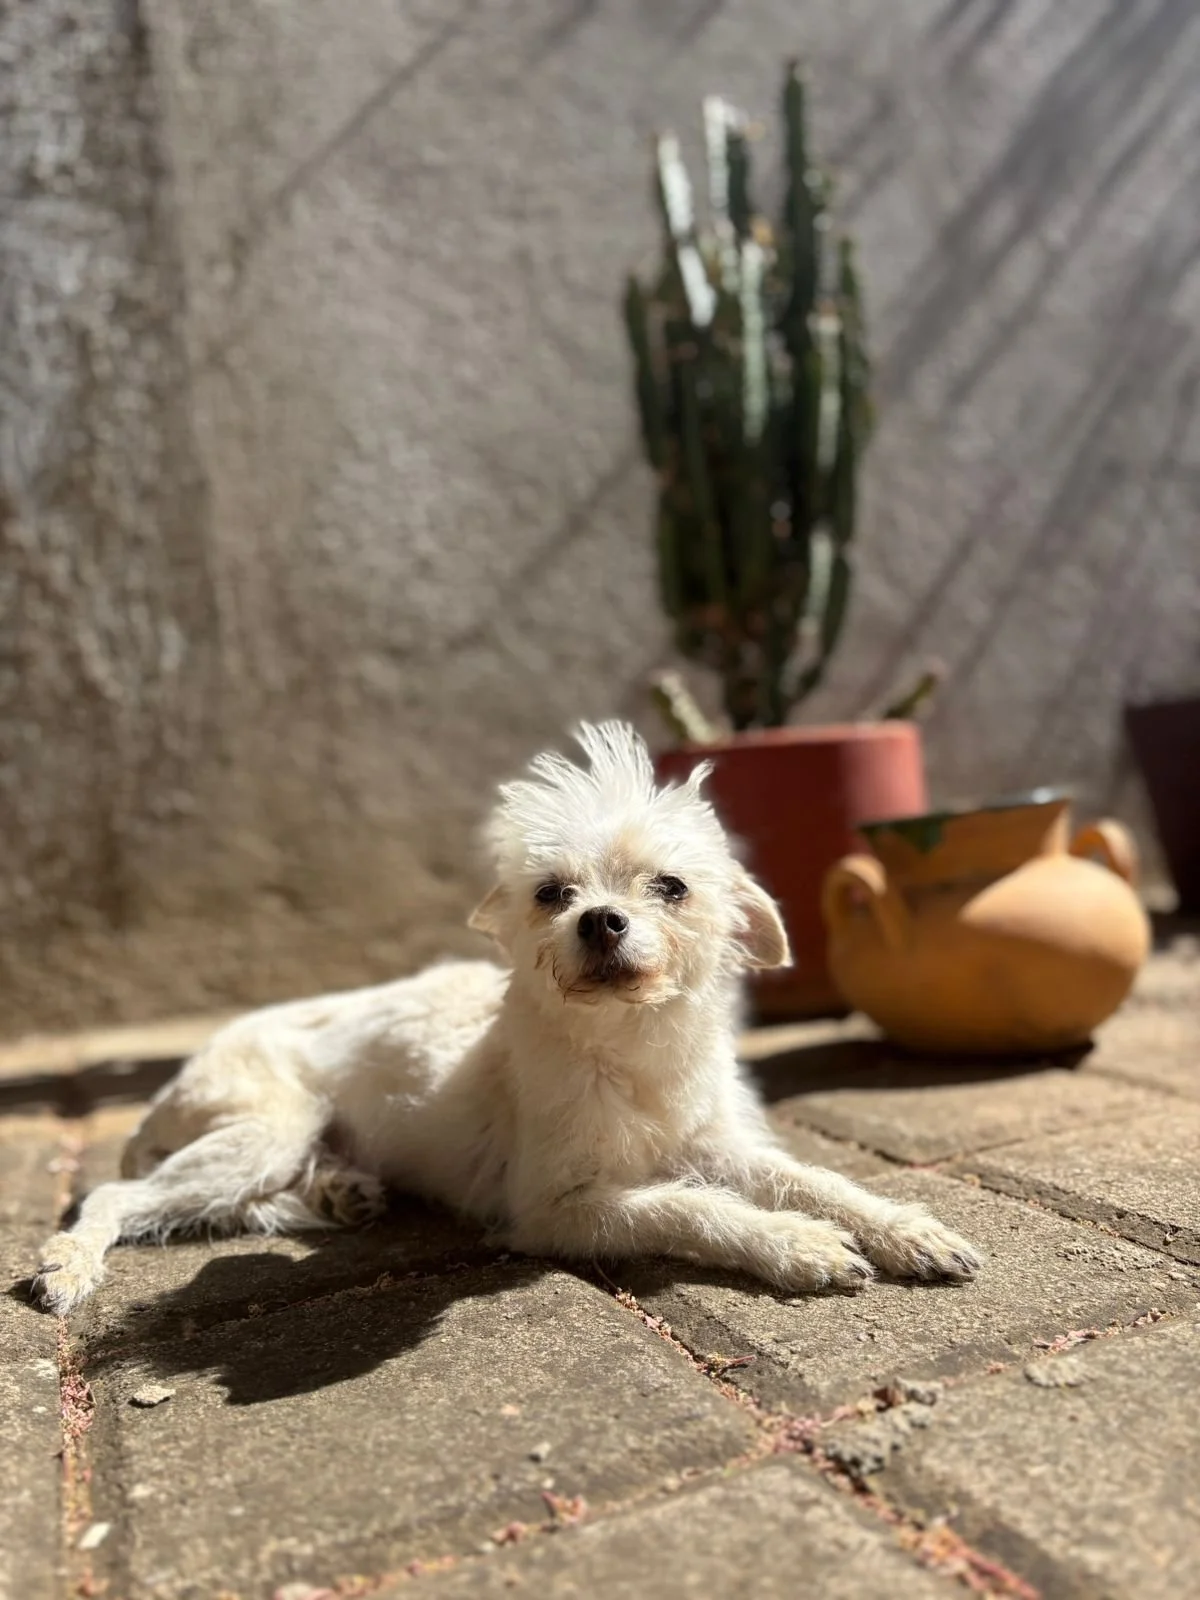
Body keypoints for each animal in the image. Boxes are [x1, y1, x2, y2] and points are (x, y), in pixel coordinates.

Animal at [34, 721, 979, 1315]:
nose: (600, 920)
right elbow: (689, 1209)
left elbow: (814, 1179)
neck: (628, 1050)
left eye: (670, 887)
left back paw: (340, 1191)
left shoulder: (719, 1146)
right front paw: (796, 1245)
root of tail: (174, 1081)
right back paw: (67, 1264)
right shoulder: (557, 1208)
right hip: (266, 1127)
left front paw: (903, 1228)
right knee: (118, 1194)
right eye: (552, 894)